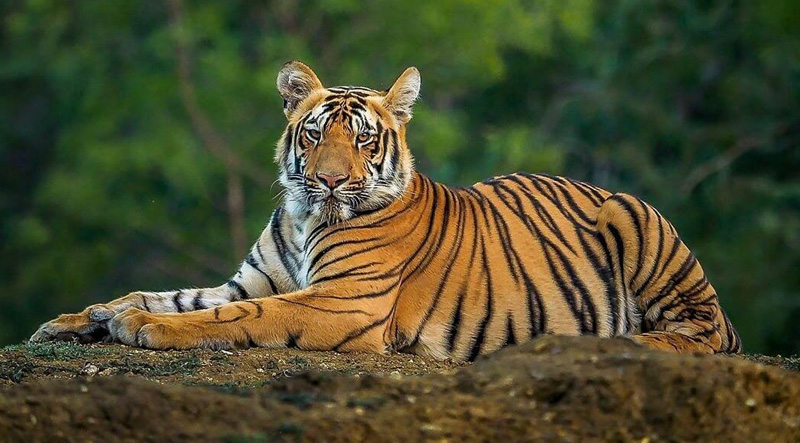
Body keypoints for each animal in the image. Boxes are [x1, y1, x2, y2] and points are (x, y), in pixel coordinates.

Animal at [30, 61, 742, 361]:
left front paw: (142, 329)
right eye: (316, 134)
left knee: (699, 336)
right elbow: (166, 294)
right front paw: (80, 319)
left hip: (637, 221)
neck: (303, 216)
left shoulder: (341, 302)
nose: (329, 180)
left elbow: (232, 316)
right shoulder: (250, 279)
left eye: (365, 140)